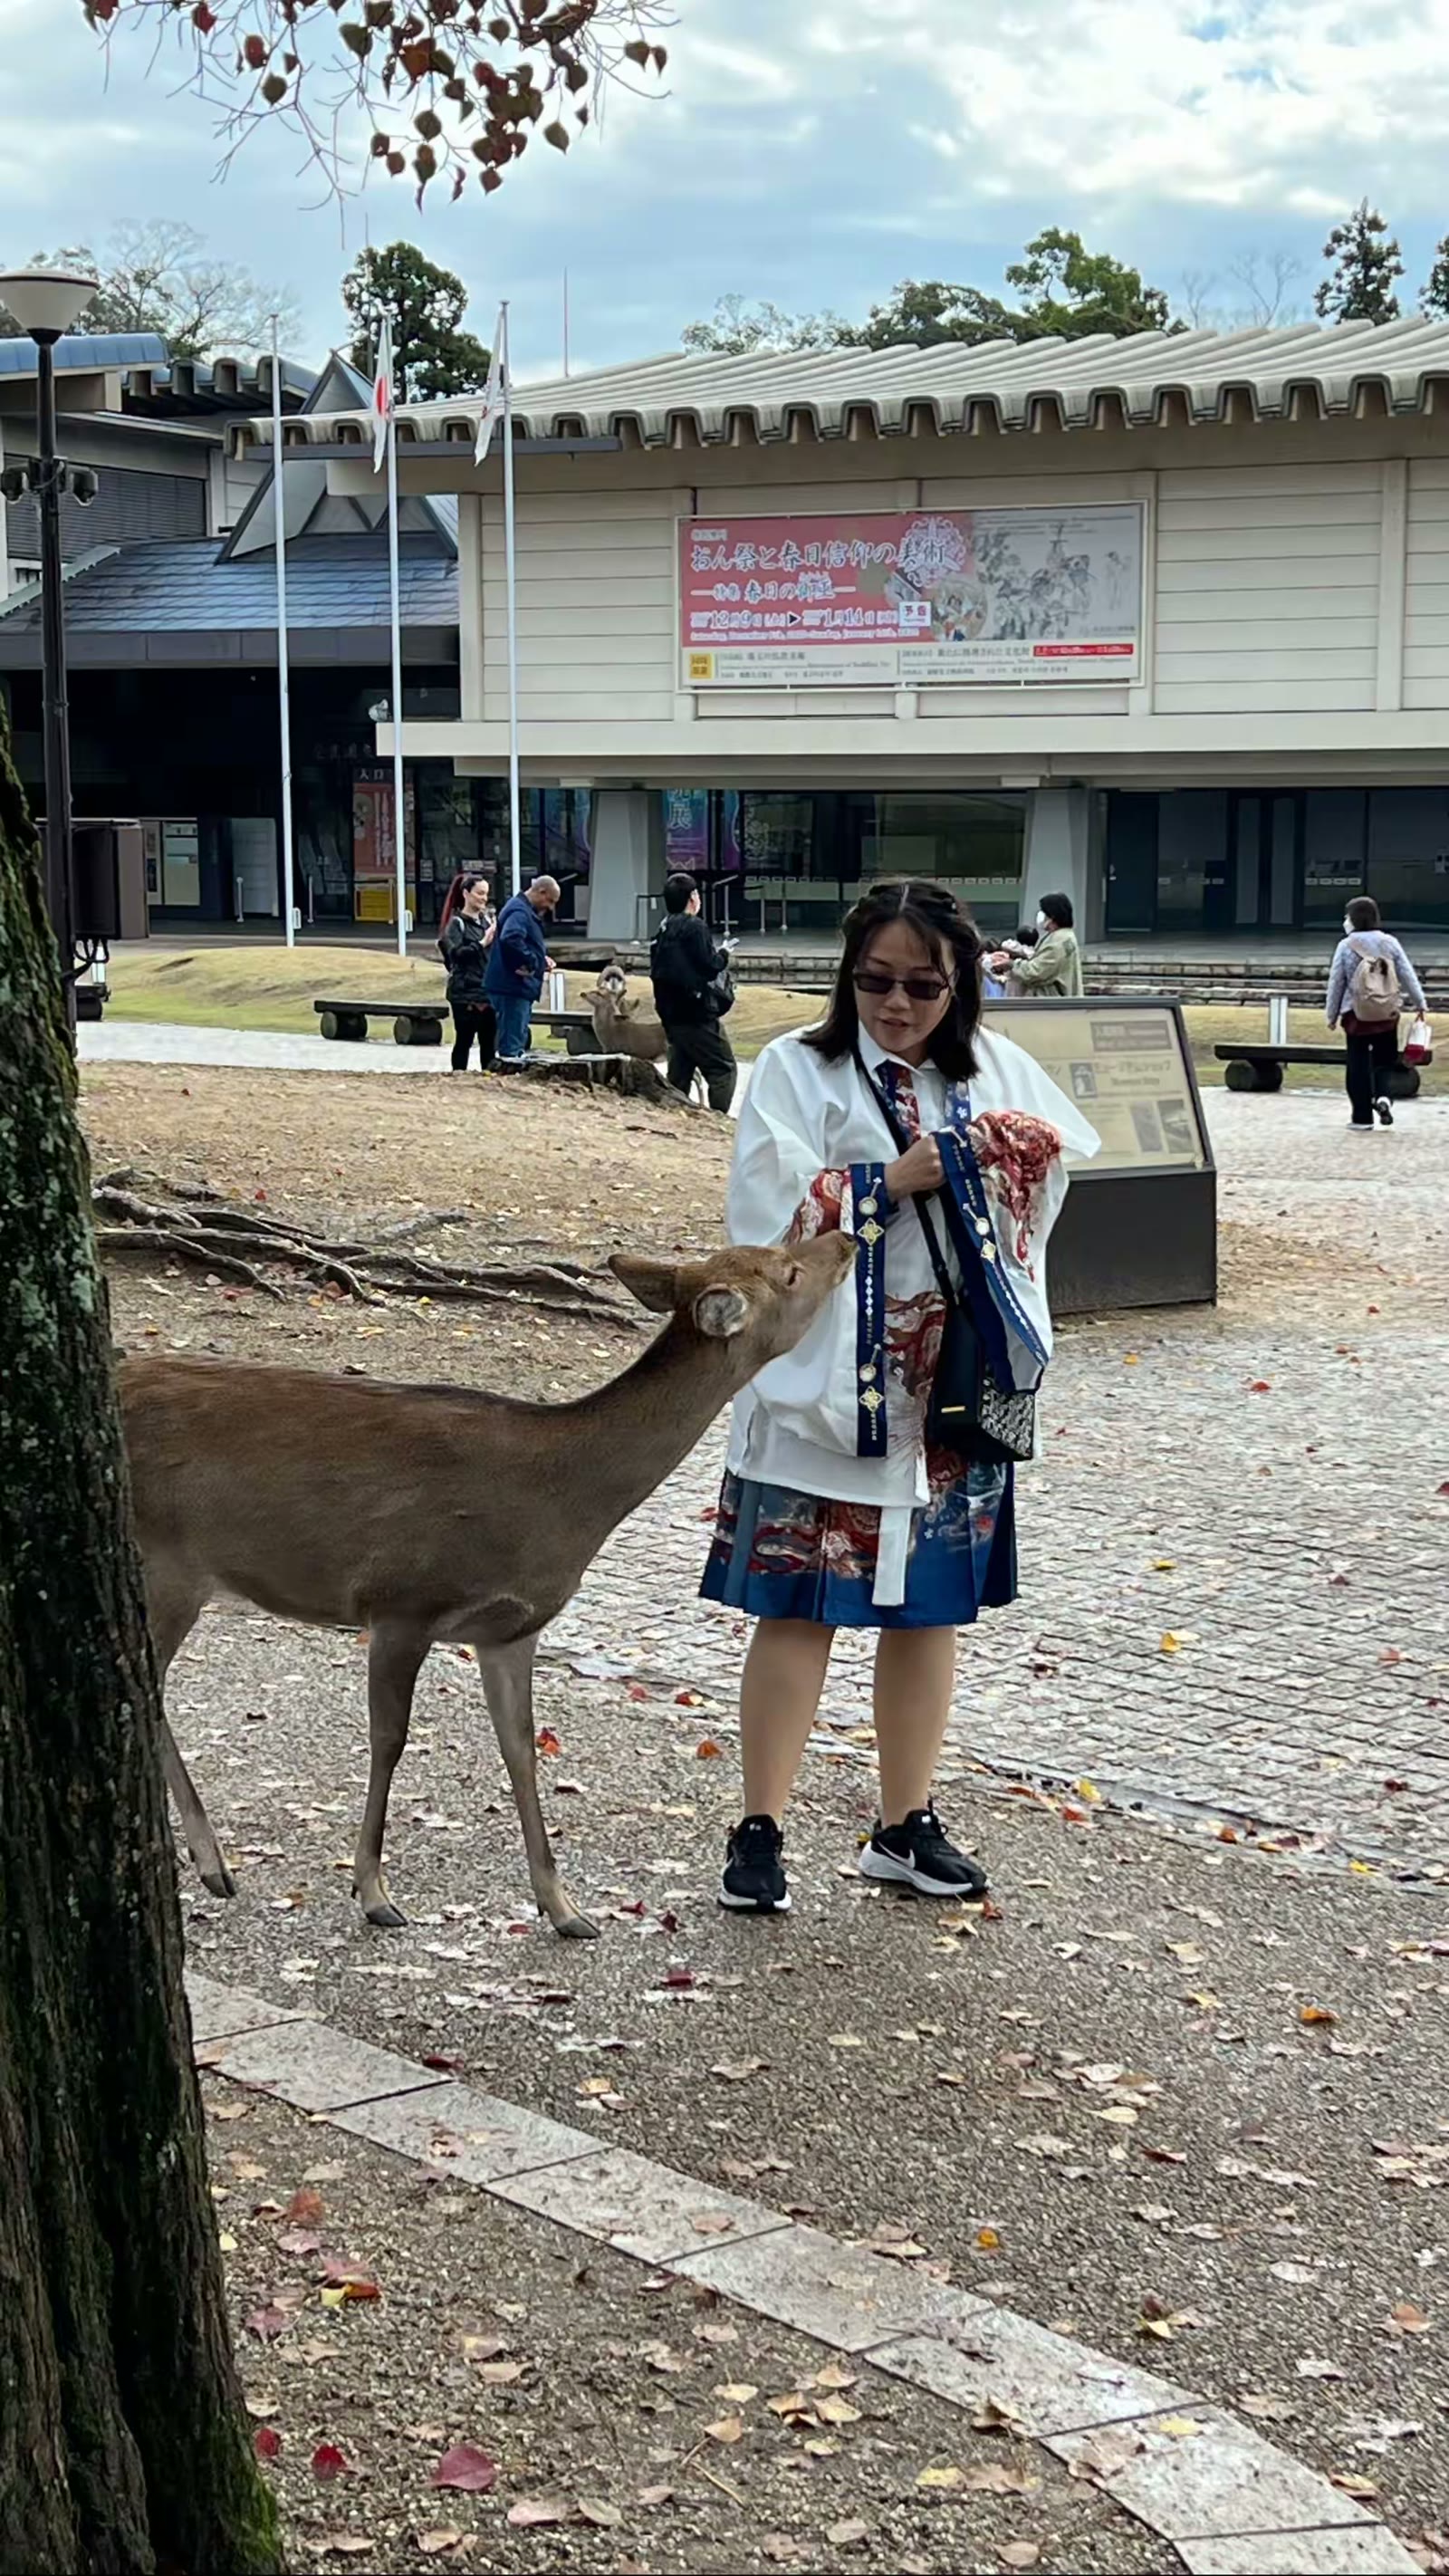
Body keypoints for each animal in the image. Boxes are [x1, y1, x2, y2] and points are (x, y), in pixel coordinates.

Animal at [119, 1233, 855, 1940]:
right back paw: (211, 1861)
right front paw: (375, 1893)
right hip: (166, 1564)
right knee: (142, 1687)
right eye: (788, 1270)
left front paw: (564, 1909)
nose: (845, 1238)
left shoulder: (512, 1630)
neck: (554, 1499)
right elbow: (390, 1740)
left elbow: (522, 1749)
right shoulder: (403, 1601)